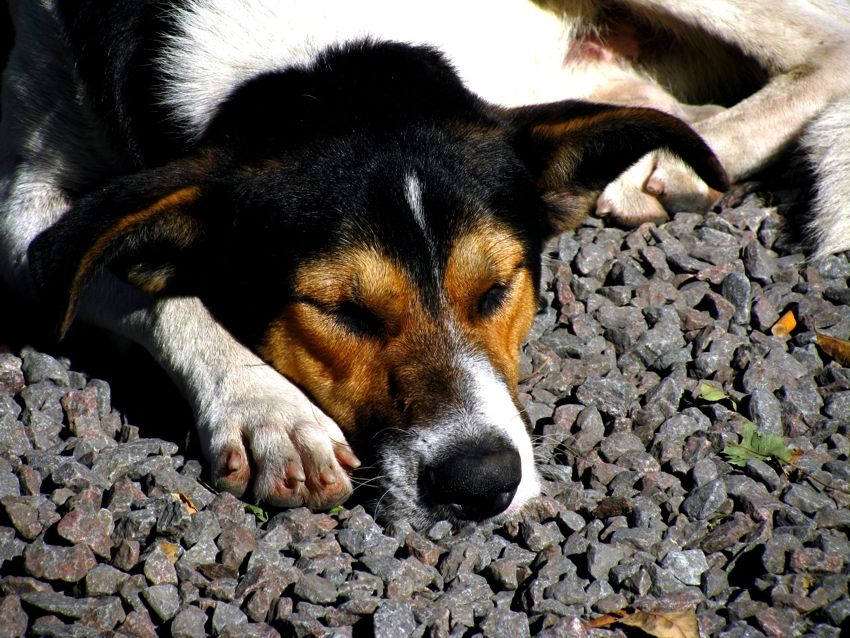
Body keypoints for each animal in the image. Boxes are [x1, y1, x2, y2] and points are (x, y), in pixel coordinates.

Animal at [0, 1, 844, 528]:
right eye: (341, 310)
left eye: (499, 288)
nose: (483, 486)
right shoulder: (26, 223)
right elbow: (136, 284)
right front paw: (270, 413)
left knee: (826, 45)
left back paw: (699, 153)